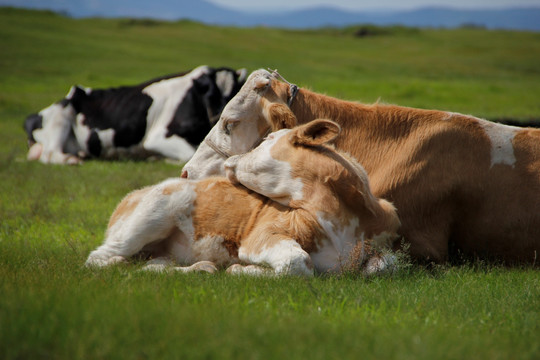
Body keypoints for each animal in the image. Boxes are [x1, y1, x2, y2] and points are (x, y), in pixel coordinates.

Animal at [23, 65, 247, 164]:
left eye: (237, 92)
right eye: (211, 95)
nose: (223, 118)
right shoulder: (158, 137)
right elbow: (190, 155)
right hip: (60, 116)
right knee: (50, 153)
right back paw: (72, 160)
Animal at [85, 119, 400, 278]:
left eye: (266, 139)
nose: (232, 159)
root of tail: (131, 196)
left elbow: (386, 265)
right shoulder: (262, 235)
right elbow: (298, 263)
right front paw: (242, 269)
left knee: (155, 265)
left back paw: (202, 268)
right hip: (150, 215)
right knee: (99, 258)